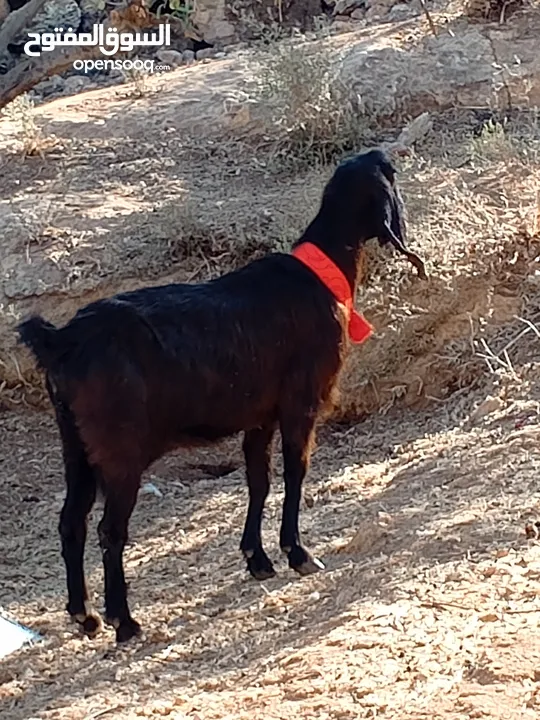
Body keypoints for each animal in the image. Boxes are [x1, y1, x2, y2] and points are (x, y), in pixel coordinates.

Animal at [16, 148, 426, 640]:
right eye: (391, 173)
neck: (316, 274)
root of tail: (63, 341)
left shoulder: (260, 415)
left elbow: (258, 479)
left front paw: (258, 558)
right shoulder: (300, 402)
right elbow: (296, 471)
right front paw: (298, 553)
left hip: (75, 445)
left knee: (70, 522)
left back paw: (85, 615)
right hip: (119, 451)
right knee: (109, 529)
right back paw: (124, 621)